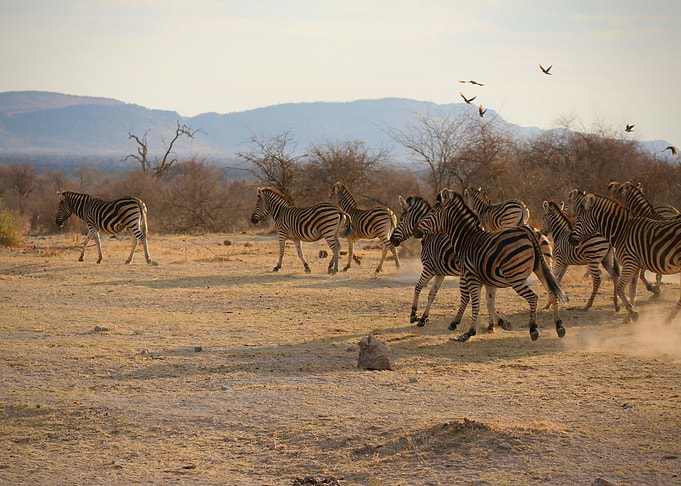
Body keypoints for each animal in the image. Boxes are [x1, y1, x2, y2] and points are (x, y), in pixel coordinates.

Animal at [388, 195, 512, 331]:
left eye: (401, 219)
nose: (392, 240)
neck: (430, 233)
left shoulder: (428, 268)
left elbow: (418, 287)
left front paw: (414, 314)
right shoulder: (439, 273)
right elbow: (432, 294)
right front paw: (423, 318)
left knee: (468, 297)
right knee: (487, 296)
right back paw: (491, 324)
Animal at [413, 189, 567, 342]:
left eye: (433, 211)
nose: (416, 231)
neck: (465, 240)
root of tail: (529, 233)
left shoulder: (471, 277)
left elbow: (475, 303)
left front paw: (469, 332)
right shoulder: (488, 279)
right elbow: (489, 302)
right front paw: (499, 323)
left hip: (515, 277)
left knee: (533, 297)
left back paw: (533, 329)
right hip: (541, 269)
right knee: (552, 292)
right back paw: (559, 326)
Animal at [569, 192, 681, 323]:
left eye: (578, 218)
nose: (570, 240)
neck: (622, 232)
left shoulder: (630, 262)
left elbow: (620, 288)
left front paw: (632, 312)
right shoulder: (635, 266)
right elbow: (632, 291)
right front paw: (628, 316)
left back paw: (669, 318)